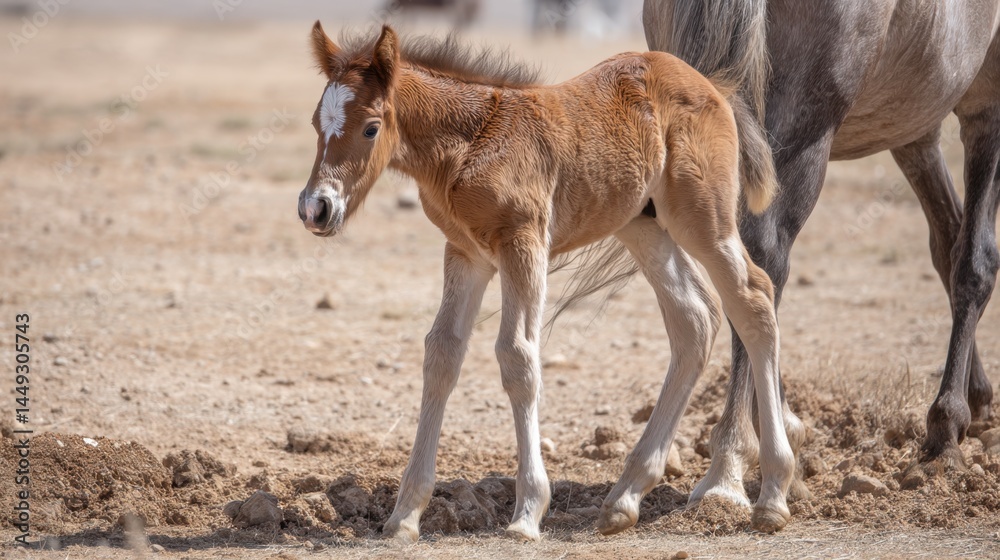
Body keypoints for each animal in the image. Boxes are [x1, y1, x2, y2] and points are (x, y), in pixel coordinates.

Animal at [298, 21, 796, 540]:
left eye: (371, 127)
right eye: (316, 124)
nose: (316, 208)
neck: (471, 142)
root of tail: (709, 85)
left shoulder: (524, 243)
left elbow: (518, 357)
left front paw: (527, 513)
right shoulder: (466, 254)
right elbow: (441, 354)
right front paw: (404, 515)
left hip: (703, 219)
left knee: (753, 299)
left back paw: (772, 494)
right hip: (643, 224)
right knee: (694, 319)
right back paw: (625, 498)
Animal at [593, 0, 1000, 536]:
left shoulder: (923, 124)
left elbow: (954, 248)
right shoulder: (980, 104)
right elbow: (974, 260)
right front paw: (949, 424)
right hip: (804, 132)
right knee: (760, 266)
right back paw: (731, 467)